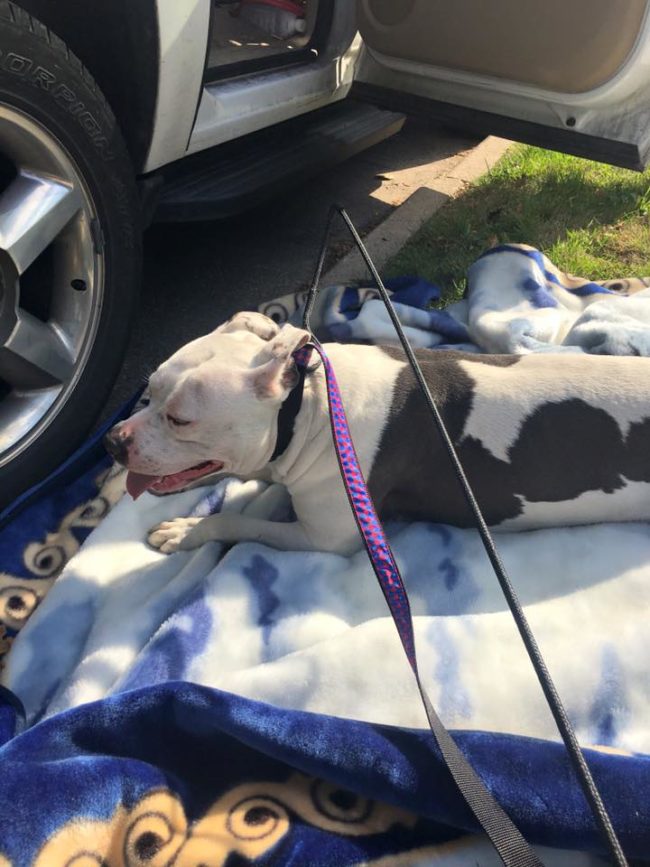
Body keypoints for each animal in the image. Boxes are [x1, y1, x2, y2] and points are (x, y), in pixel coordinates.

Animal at [104, 312, 648, 556]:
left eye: (180, 419)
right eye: (148, 392)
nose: (112, 441)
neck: (311, 408)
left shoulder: (327, 538)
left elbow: (236, 522)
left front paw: (188, 530)